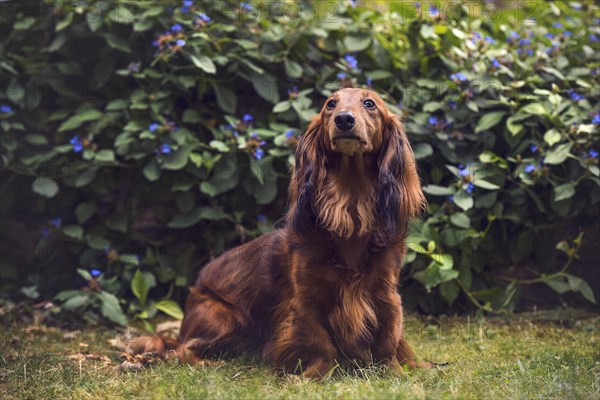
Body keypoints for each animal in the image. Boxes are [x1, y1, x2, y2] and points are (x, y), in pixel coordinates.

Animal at [127, 88, 426, 378]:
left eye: (369, 103)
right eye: (330, 104)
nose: (343, 119)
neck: (350, 213)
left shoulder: (386, 294)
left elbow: (389, 340)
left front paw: (400, 372)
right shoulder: (305, 301)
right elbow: (322, 345)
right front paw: (310, 377)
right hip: (226, 320)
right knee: (181, 349)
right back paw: (204, 364)